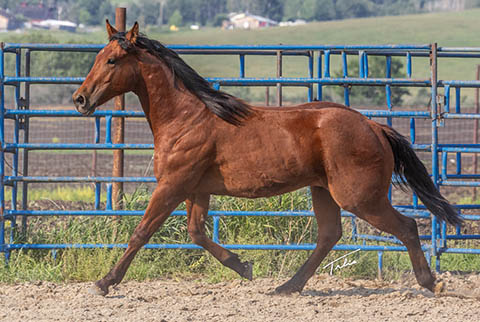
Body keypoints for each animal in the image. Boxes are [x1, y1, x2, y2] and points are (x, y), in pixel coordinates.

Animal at [71, 21, 462, 296]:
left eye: (112, 59)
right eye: (96, 57)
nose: (80, 99)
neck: (187, 117)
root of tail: (373, 126)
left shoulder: (172, 185)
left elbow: (141, 232)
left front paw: (104, 282)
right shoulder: (196, 189)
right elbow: (196, 232)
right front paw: (243, 266)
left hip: (359, 197)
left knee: (407, 227)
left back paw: (433, 283)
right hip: (324, 191)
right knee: (329, 235)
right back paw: (288, 286)